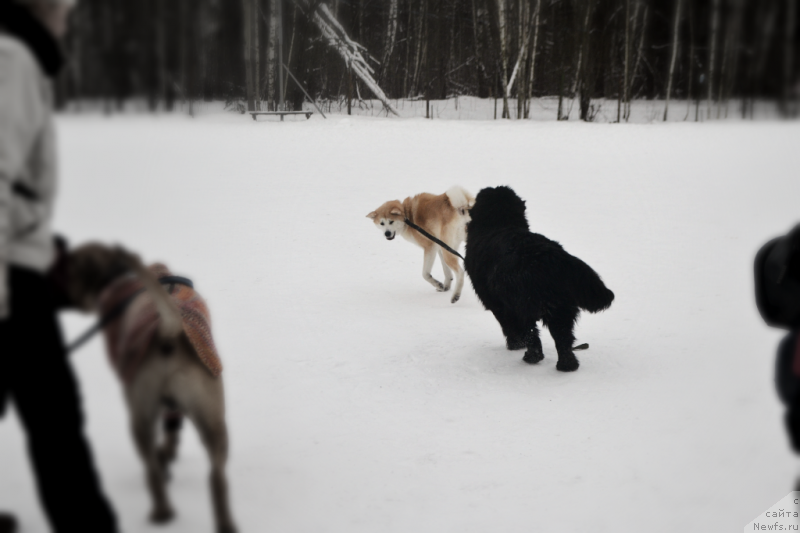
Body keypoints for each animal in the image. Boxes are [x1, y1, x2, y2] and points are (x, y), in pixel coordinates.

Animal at [462, 186, 612, 370]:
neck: (500, 223)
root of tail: (549, 255)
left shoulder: (497, 304)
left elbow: (509, 326)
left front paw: (515, 345)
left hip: (522, 304)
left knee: (531, 333)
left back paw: (531, 357)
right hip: (560, 307)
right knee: (563, 337)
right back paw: (567, 365)